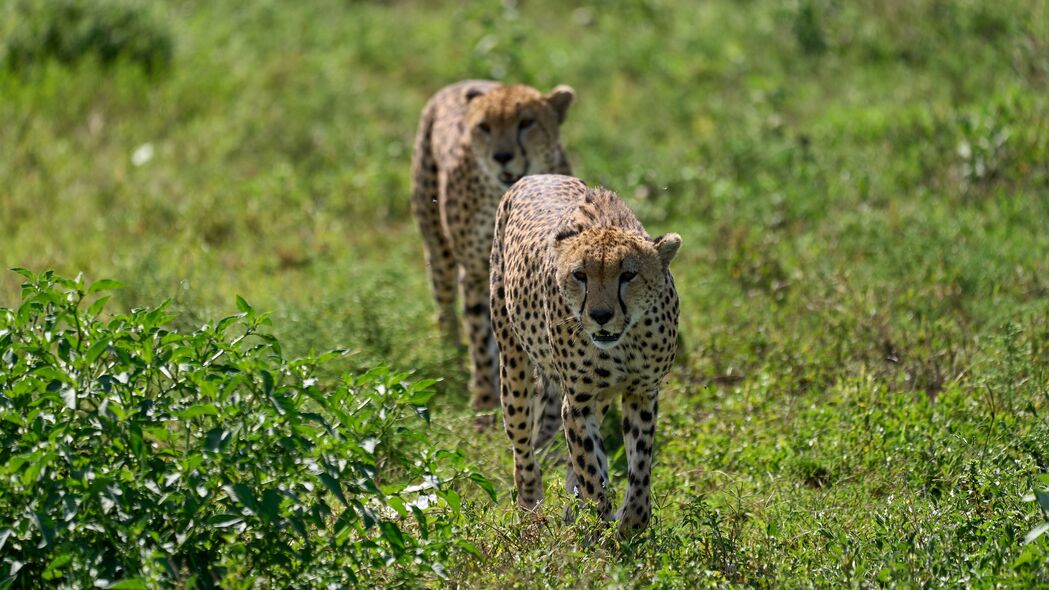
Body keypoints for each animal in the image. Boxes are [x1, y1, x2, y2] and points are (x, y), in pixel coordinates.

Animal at [409, 78, 574, 411]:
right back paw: (452, 357)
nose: (502, 156)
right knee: (445, 309)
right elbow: (479, 337)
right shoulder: (475, 273)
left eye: (526, 122)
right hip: (440, 255)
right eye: (484, 126)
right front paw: (484, 399)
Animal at [488, 171, 683, 533]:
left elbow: (638, 468)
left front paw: (628, 524)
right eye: (580, 275)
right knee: (523, 447)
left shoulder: (642, 392)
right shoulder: (577, 401)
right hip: (513, 366)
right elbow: (590, 469)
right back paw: (531, 509)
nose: (601, 315)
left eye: (628, 274)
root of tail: (537, 175)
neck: (624, 341)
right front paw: (599, 522)